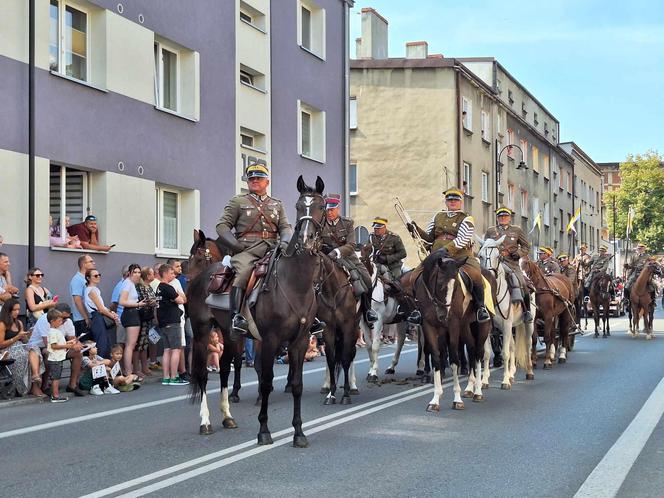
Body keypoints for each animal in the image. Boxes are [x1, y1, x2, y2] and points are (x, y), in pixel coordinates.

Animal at [188, 176, 326, 448]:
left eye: (320, 206)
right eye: (298, 207)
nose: (306, 240)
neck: (294, 283)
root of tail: (201, 279)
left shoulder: (300, 341)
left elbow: (297, 384)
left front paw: (299, 433)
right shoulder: (270, 340)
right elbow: (265, 382)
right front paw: (264, 431)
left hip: (229, 334)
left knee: (223, 368)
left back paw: (227, 417)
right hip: (201, 332)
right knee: (201, 374)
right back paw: (205, 421)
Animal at [474, 235, 536, 392]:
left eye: (498, 256)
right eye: (480, 255)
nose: (489, 276)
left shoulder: (506, 324)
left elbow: (505, 353)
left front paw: (505, 381)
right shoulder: (489, 327)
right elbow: (487, 353)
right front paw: (484, 381)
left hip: (527, 324)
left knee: (528, 345)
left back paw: (529, 372)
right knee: (513, 345)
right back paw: (512, 374)